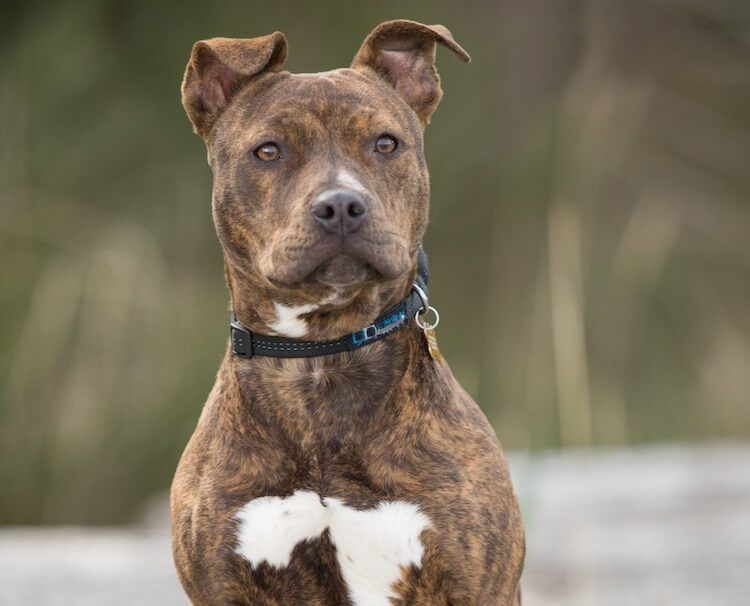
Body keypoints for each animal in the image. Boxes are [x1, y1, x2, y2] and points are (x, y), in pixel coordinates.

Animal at [173, 19, 524, 606]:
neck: (322, 360)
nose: (341, 204)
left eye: (386, 143)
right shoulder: (221, 581)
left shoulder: (478, 581)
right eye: (268, 150)